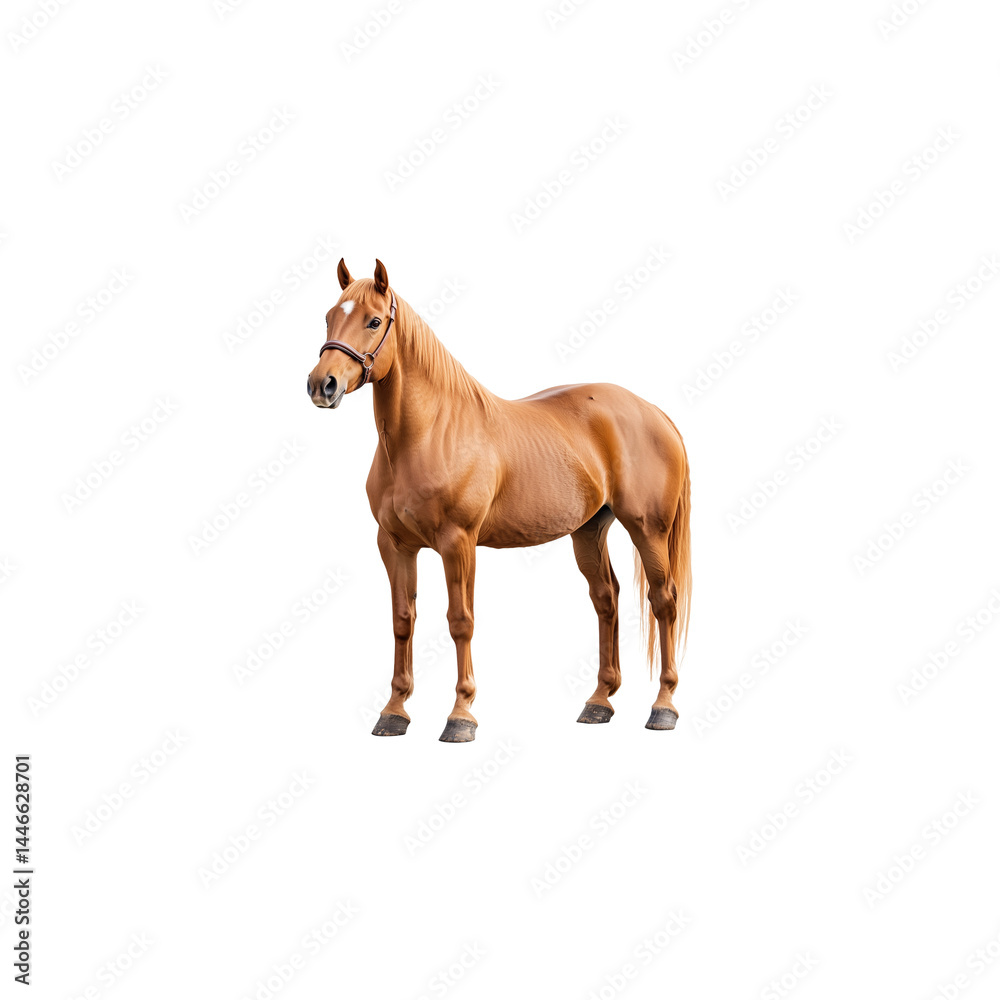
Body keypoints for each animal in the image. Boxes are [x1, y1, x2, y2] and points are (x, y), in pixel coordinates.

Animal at [306, 259, 691, 742]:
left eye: (374, 321)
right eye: (328, 318)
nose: (321, 385)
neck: (430, 433)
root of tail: (655, 413)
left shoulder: (458, 543)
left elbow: (460, 621)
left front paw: (460, 715)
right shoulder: (395, 546)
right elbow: (402, 621)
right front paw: (394, 712)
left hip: (648, 529)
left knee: (664, 601)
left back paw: (664, 706)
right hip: (589, 530)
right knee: (607, 598)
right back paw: (599, 703)